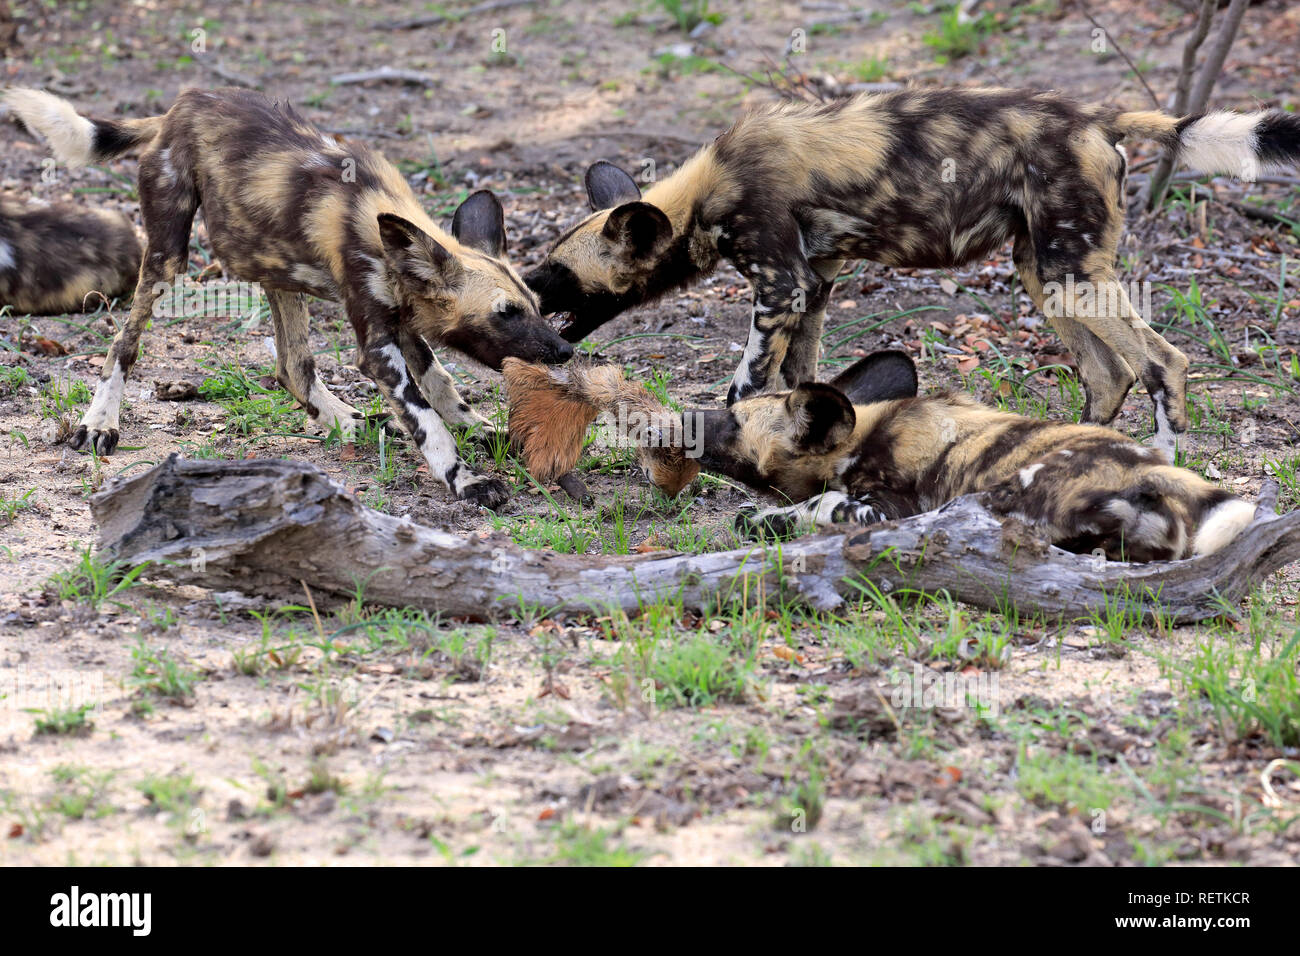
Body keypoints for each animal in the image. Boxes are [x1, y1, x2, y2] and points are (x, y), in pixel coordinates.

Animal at [525, 90, 1300, 460]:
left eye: (560, 270)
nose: (526, 286)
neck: (703, 195)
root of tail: (1095, 115)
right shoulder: (816, 284)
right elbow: (801, 380)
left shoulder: (780, 287)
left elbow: (744, 386)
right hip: (1047, 272)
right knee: (1109, 376)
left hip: (1073, 273)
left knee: (1163, 363)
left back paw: (1160, 457)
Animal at [691, 348, 1258, 561]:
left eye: (734, 420)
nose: (684, 420)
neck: (857, 442)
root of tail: (1151, 468)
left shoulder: (886, 508)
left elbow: (821, 505)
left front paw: (768, 520)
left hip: (1002, 495)